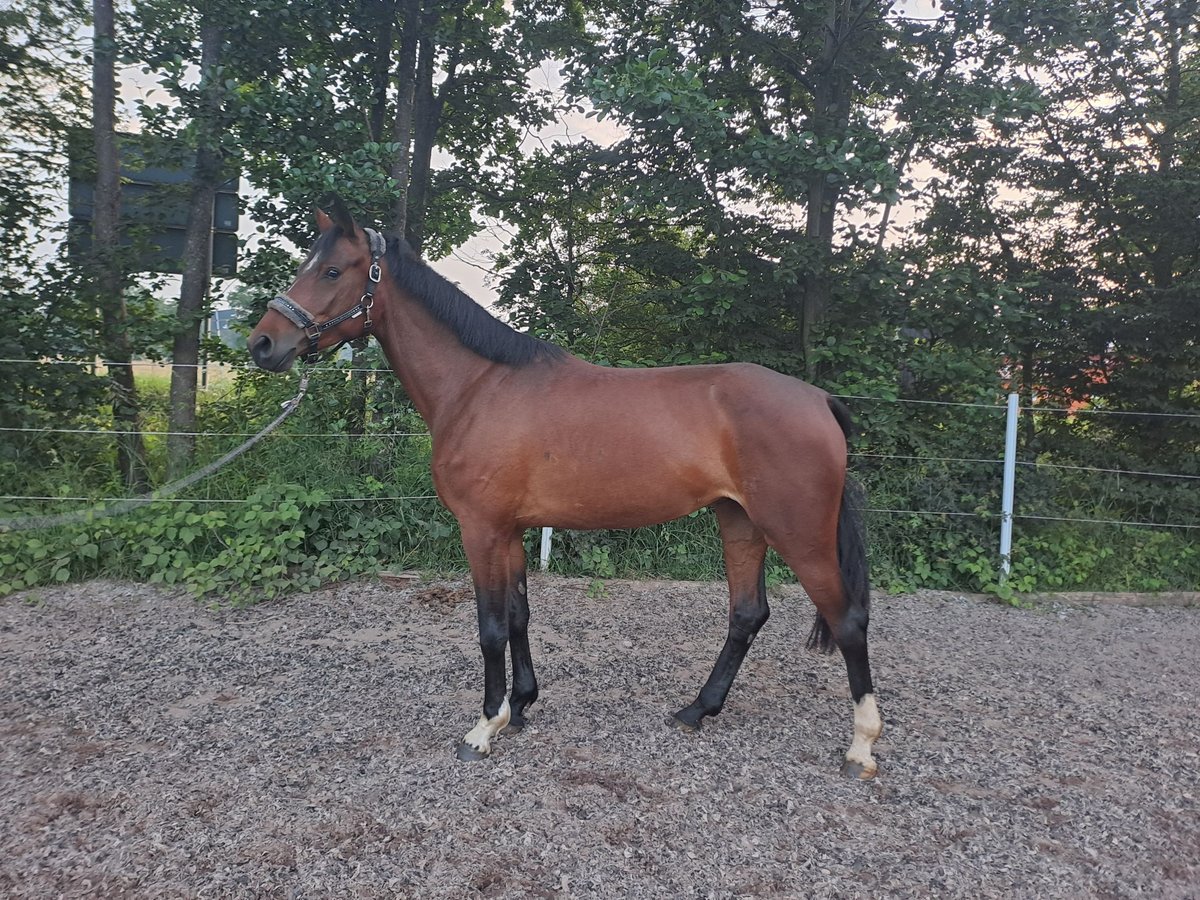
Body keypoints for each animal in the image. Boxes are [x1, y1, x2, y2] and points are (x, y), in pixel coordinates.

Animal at [248, 200, 883, 777]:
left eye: (333, 270)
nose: (263, 343)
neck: (479, 387)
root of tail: (819, 400)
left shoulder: (480, 529)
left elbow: (490, 628)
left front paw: (484, 726)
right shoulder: (510, 531)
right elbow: (519, 616)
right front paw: (521, 705)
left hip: (798, 534)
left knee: (847, 620)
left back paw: (861, 747)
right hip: (740, 522)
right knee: (747, 614)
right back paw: (697, 710)